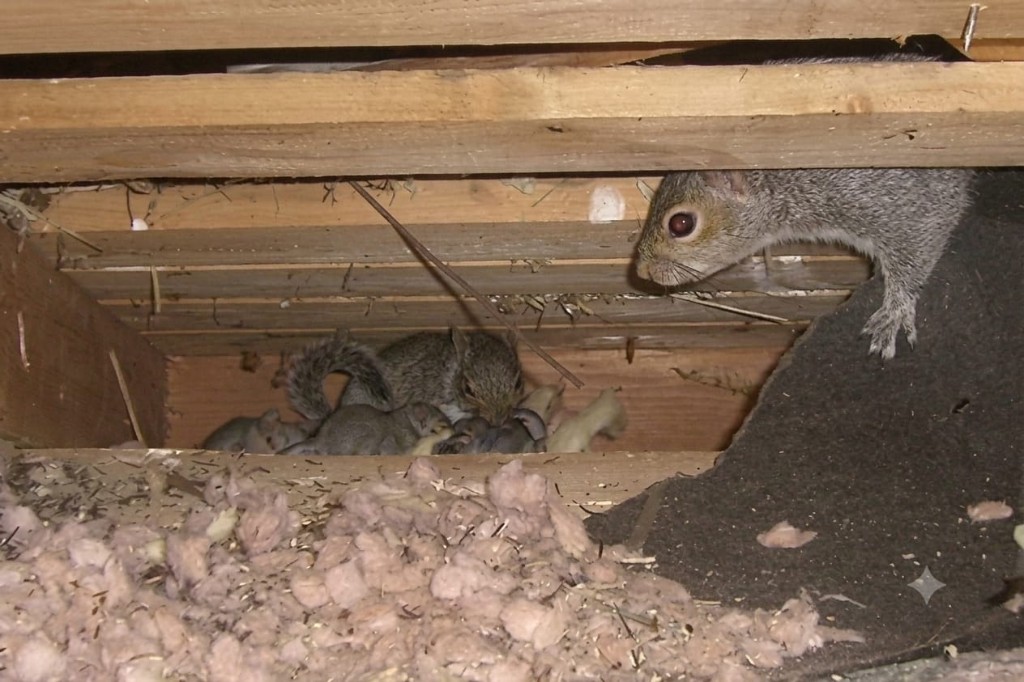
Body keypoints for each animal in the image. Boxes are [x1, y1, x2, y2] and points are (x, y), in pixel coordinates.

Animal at [634, 54, 974, 360]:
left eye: (681, 224)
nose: (641, 270)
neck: (788, 185)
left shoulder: (899, 205)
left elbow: (917, 248)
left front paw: (894, 312)